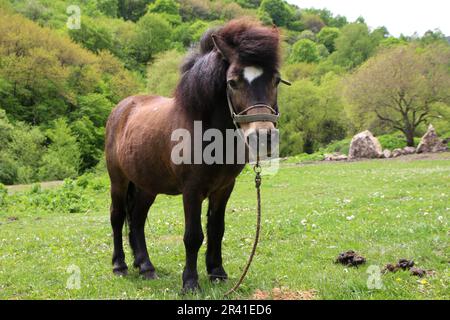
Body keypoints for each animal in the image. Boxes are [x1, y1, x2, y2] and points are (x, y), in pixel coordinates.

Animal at [104, 18, 284, 292]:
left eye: (275, 80)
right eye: (232, 82)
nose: (263, 137)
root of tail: (121, 108)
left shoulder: (224, 188)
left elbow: (217, 229)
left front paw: (217, 272)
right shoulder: (192, 189)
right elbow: (193, 236)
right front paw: (190, 282)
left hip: (146, 186)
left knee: (136, 220)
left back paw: (145, 267)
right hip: (119, 180)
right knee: (117, 217)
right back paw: (120, 266)